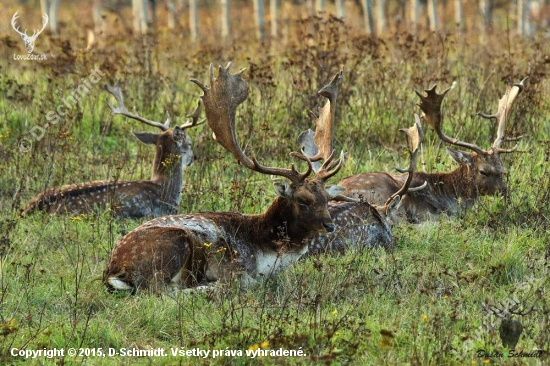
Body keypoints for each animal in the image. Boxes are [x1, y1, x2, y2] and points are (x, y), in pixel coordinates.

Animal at [102, 62, 344, 292]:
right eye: (303, 200)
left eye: (327, 198)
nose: (330, 225)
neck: (264, 252)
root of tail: (113, 269)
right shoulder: (231, 266)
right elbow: (243, 282)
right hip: (173, 244)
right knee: (158, 289)